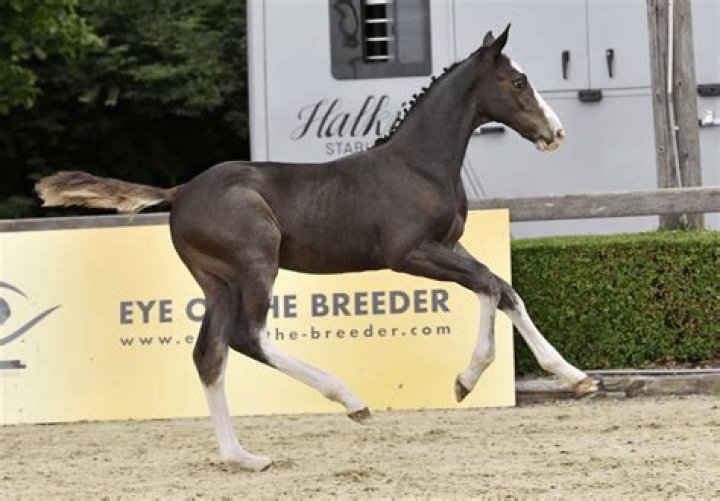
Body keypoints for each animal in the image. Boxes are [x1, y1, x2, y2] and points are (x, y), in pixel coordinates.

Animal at [36, 25, 598, 471]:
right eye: (518, 82)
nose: (556, 133)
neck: (418, 165)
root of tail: (178, 193)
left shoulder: (446, 245)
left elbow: (501, 289)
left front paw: (570, 379)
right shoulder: (410, 253)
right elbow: (489, 286)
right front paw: (472, 378)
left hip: (217, 282)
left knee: (209, 354)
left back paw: (242, 457)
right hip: (255, 264)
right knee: (247, 337)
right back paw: (350, 400)